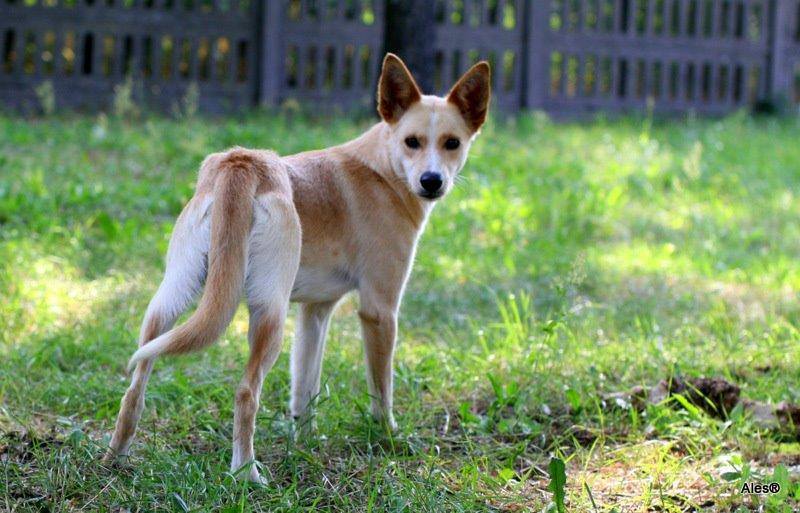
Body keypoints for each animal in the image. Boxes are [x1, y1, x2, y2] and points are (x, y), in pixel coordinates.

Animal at [104, 53, 491, 482]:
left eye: (452, 143)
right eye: (413, 142)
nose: (431, 181)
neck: (383, 170)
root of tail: (243, 162)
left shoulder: (314, 313)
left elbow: (304, 390)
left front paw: (305, 443)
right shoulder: (379, 312)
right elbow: (381, 390)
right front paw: (388, 437)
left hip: (170, 300)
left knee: (136, 383)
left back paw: (115, 456)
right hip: (269, 316)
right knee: (246, 392)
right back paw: (246, 474)